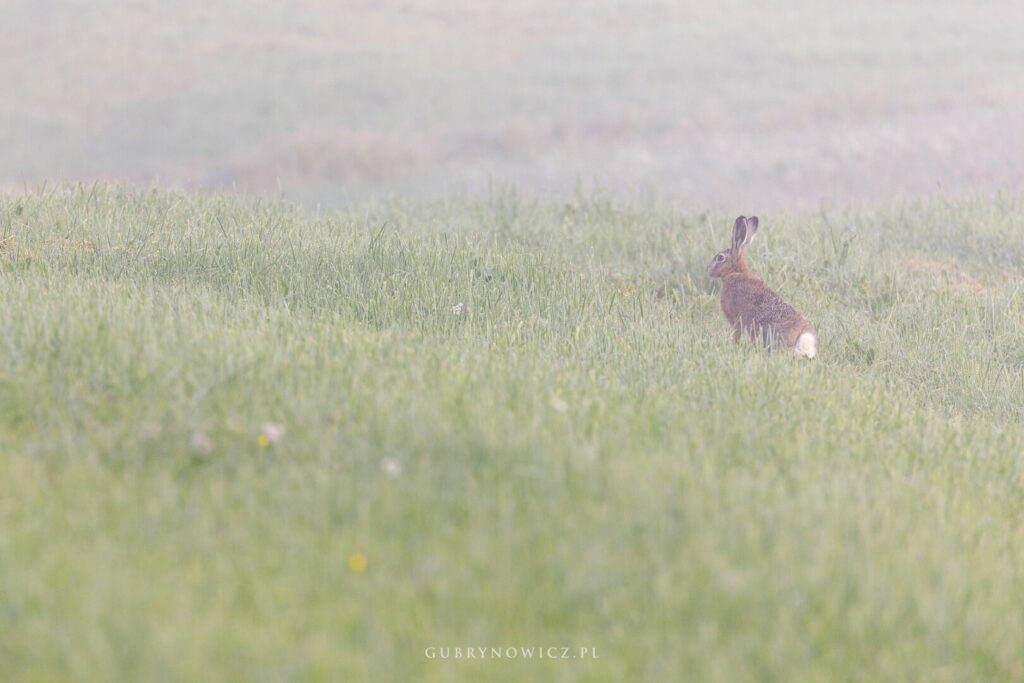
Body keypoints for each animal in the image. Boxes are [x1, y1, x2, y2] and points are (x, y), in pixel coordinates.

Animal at [706, 216, 817, 358]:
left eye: (720, 258)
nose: (708, 270)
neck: (735, 272)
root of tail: (804, 336)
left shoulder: (736, 321)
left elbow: (737, 334)